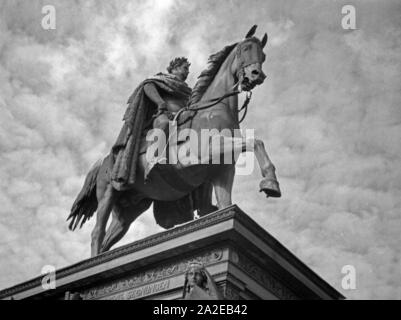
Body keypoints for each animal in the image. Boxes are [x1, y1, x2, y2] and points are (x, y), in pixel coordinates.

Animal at [67, 26, 280, 258]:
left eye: (264, 56)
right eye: (245, 48)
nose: (256, 75)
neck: (212, 110)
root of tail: (104, 160)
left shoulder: (222, 169)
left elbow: (226, 203)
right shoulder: (202, 153)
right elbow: (255, 142)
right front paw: (270, 183)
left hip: (128, 211)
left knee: (107, 240)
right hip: (108, 192)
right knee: (97, 232)